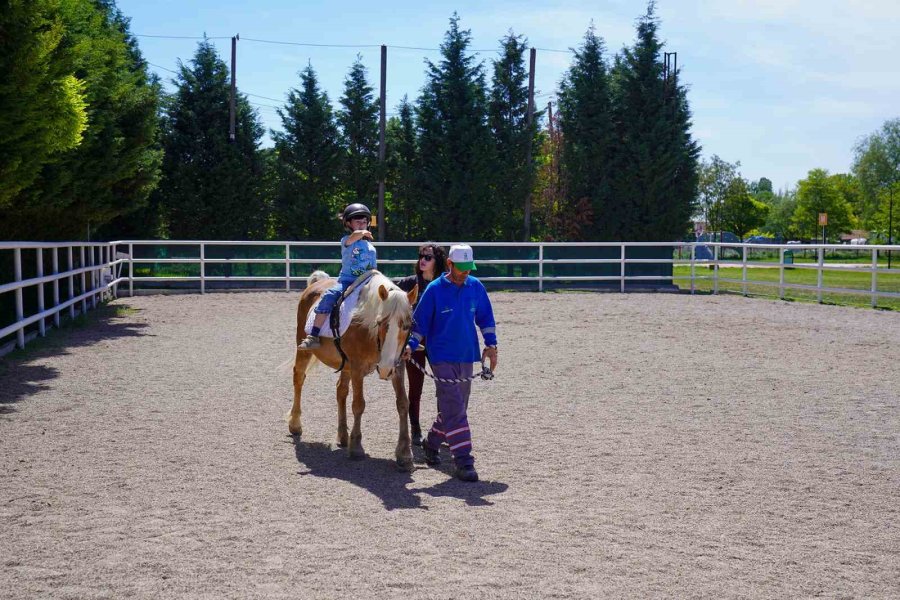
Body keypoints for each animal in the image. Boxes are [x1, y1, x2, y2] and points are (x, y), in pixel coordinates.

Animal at [288, 270, 418, 472]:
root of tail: (318, 282)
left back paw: (343, 436)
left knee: (340, 390)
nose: (385, 369)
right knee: (299, 378)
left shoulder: (397, 366)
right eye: (381, 323)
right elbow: (358, 404)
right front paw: (356, 447)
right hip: (304, 349)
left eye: (407, 325)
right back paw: (295, 424)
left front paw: (404, 454)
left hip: (346, 365)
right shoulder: (357, 368)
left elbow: (403, 404)